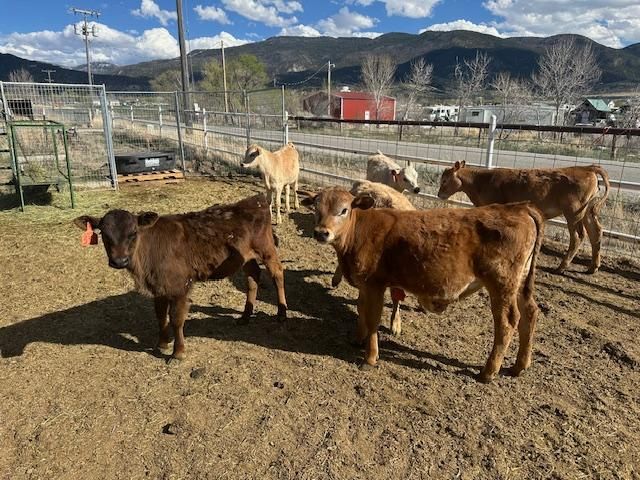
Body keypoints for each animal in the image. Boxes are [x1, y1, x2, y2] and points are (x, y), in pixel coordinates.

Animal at [74, 194, 287, 362]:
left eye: (133, 233)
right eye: (104, 234)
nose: (119, 261)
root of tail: (256, 199)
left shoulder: (179, 287)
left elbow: (176, 319)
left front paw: (178, 353)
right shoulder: (158, 288)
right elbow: (160, 316)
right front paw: (161, 343)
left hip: (266, 248)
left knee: (277, 273)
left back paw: (281, 313)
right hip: (246, 257)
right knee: (253, 278)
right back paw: (244, 317)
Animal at [437, 162, 610, 273]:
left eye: (444, 180)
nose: (439, 194)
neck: (482, 182)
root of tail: (587, 168)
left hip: (574, 213)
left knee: (578, 236)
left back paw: (562, 267)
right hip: (587, 212)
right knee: (596, 232)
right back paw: (592, 267)